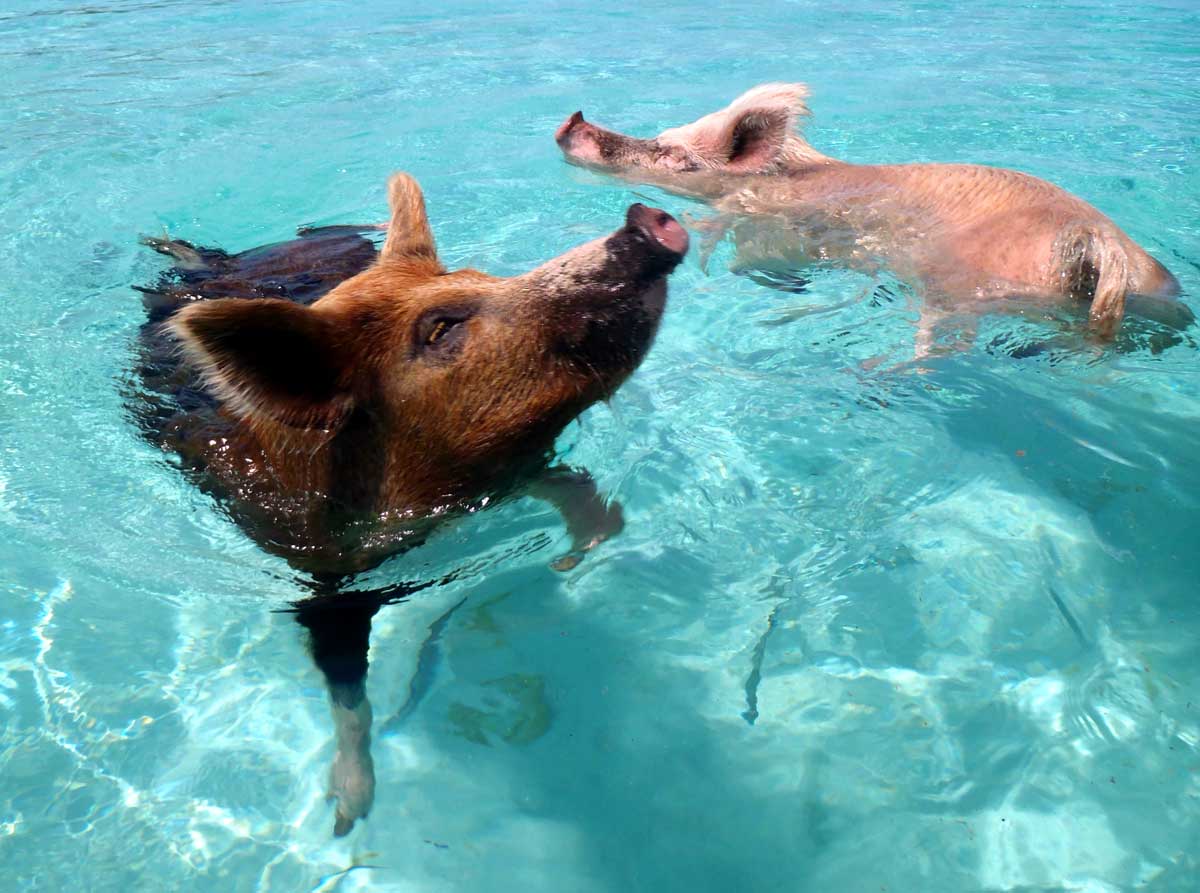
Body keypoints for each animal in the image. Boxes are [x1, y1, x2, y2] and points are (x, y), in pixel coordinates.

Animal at [127, 174, 691, 835]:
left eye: (481, 276)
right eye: (440, 328)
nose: (648, 221)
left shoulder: (513, 469)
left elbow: (575, 491)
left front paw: (574, 558)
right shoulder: (324, 581)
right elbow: (347, 691)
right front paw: (349, 816)